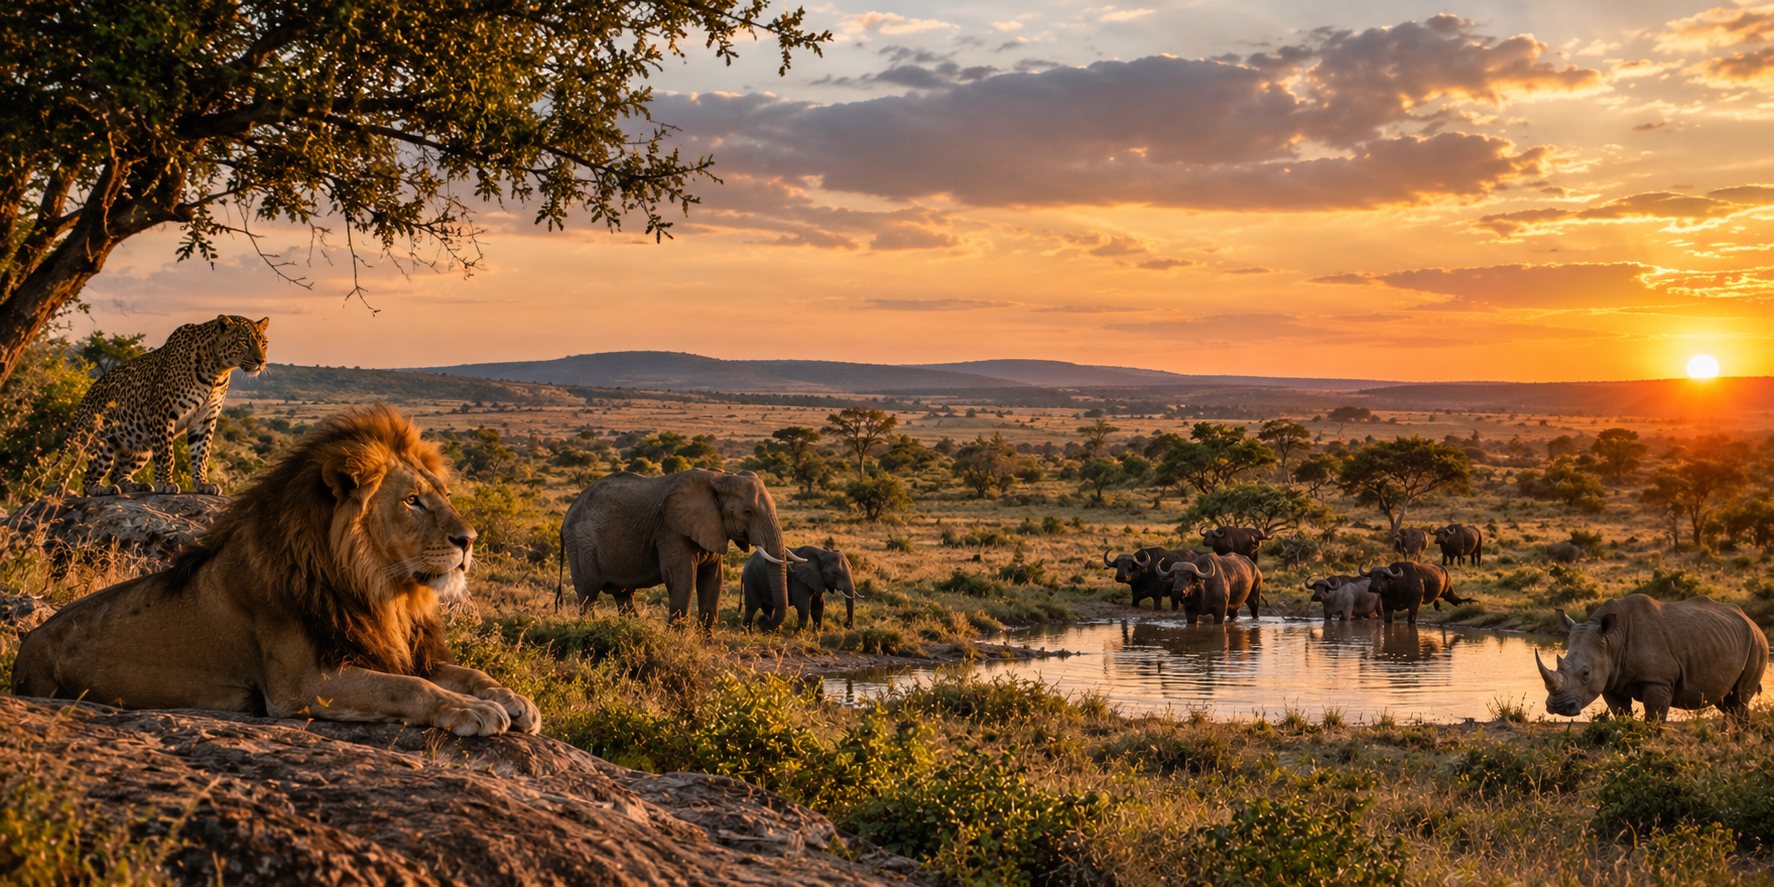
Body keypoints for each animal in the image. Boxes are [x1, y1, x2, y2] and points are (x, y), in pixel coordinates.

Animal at [12, 404, 540, 736]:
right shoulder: (301, 684)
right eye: (412, 501)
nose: (469, 540)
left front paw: (512, 699)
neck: (379, 590)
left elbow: (464, 671)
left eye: (444, 495)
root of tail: (26, 643)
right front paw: (474, 711)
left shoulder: (397, 650)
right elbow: (410, 687)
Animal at [69, 314, 270, 497]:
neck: (218, 370)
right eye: (244, 342)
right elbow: (167, 454)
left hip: (139, 448)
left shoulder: (205, 419)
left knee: (117, 474)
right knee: (88, 478)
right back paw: (100, 489)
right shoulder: (162, 413)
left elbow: (202, 453)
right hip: (102, 443)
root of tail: (82, 403)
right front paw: (166, 484)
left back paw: (136, 486)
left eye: (264, 343)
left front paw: (203, 484)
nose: (261, 362)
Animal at [557, 469, 792, 630]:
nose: (765, 621)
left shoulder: (712, 529)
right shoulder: (671, 529)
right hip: (581, 542)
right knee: (589, 593)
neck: (721, 477)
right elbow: (681, 577)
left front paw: (705, 644)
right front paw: (677, 638)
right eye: (748, 511)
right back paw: (588, 628)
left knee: (623, 595)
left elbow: (713, 579)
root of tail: (568, 512)